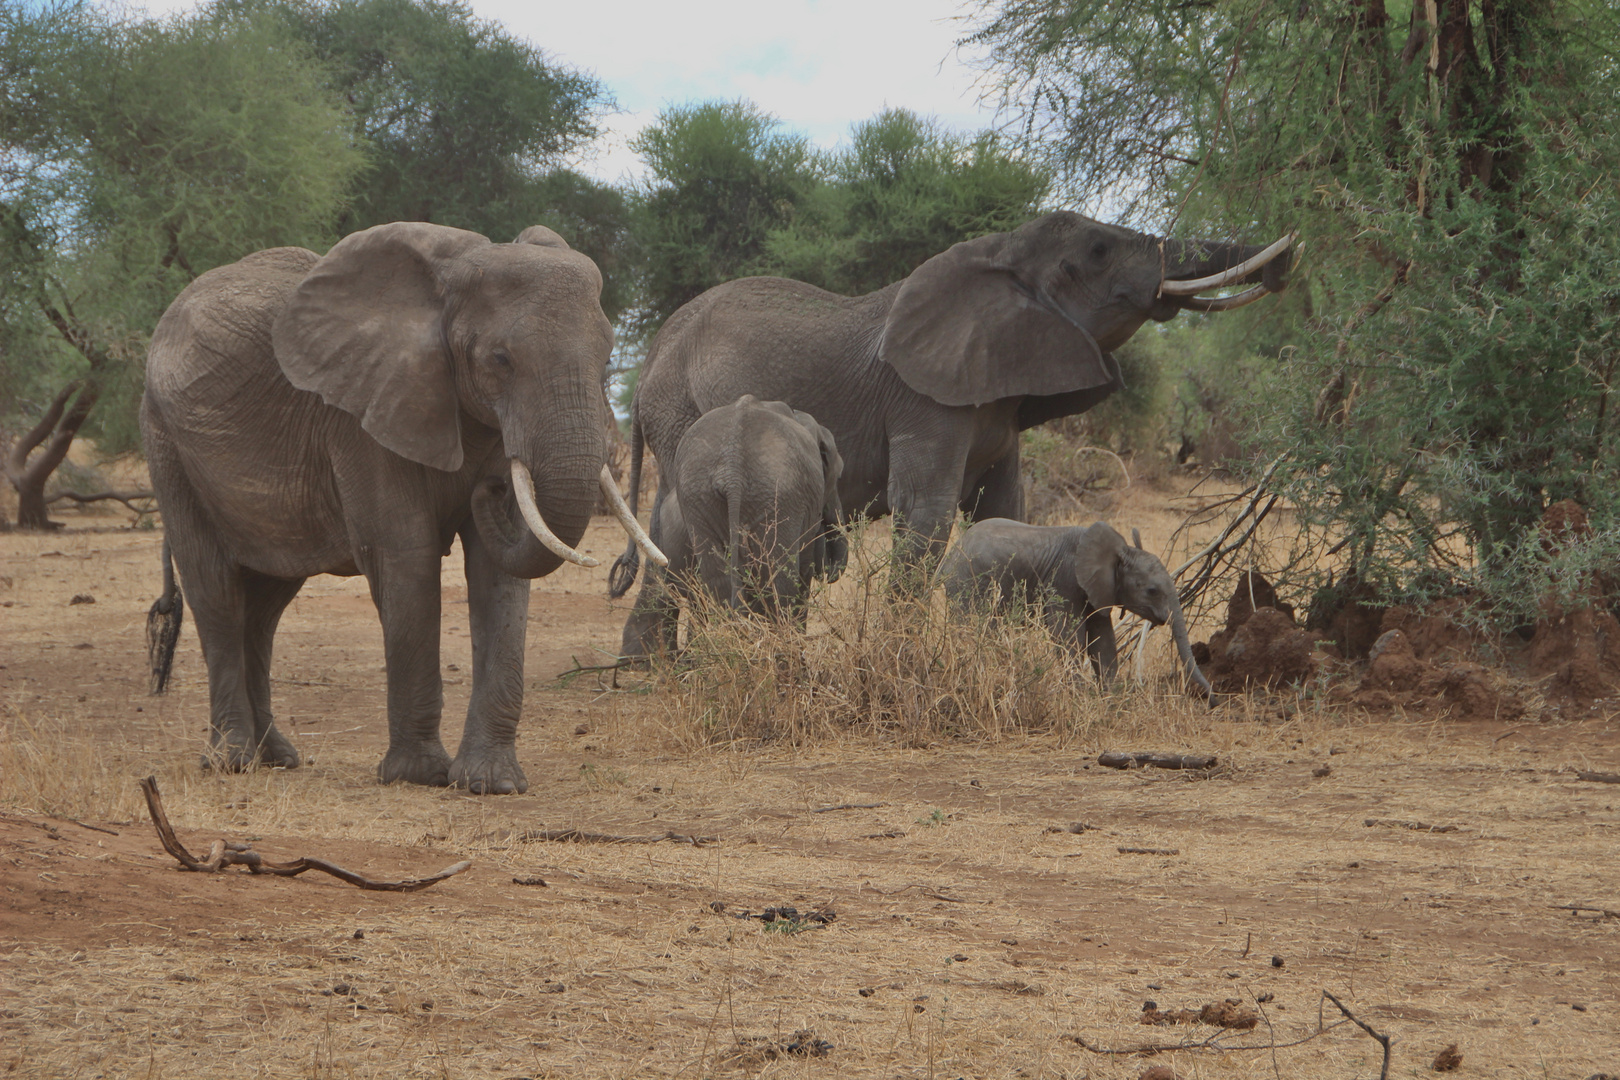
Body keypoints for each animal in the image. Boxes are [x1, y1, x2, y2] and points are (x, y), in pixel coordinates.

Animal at [142, 221, 660, 793]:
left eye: (608, 359)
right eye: (500, 359)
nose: (493, 489)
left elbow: (498, 572)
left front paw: (490, 783)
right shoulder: (360, 416)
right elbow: (405, 558)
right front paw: (420, 775)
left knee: (265, 606)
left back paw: (277, 756)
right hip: (167, 443)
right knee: (215, 592)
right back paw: (232, 761)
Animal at [609, 210, 1289, 599]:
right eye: (1098, 252)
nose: (1287, 258)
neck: (997, 253)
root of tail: (651, 353)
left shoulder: (999, 402)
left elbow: (1005, 512)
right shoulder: (923, 399)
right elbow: (927, 516)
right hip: (680, 411)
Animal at [618, 393, 848, 654]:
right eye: (838, 476)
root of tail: (733, 469)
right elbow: (803, 570)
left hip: (697, 494)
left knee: (718, 581)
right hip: (778, 494)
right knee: (778, 581)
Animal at [939, 521, 1218, 702]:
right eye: (1152, 590)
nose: (1214, 700)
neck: (1118, 552)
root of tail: (949, 557)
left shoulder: (1096, 588)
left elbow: (1103, 639)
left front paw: (1107, 699)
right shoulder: (1064, 578)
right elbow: (1069, 635)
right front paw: (1078, 697)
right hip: (968, 584)